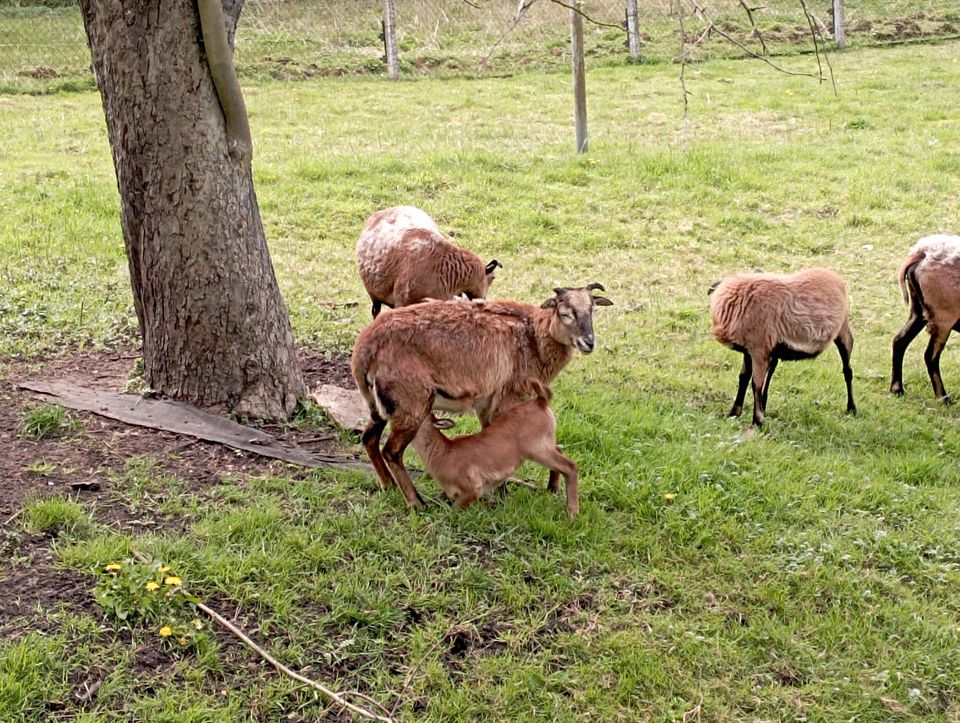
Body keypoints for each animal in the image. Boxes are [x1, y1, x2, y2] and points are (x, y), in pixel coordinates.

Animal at [410, 382, 576, 516]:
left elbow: (454, 511)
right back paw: (552, 490)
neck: (443, 452)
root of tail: (540, 401)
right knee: (560, 452)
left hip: (537, 449)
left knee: (570, 466)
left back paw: (572, 514)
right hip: (545, 445)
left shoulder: (472, 489)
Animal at [708, 268, 860, 428]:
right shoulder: (749, 350)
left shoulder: (759, 350)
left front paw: (757, 421)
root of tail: (836, 278)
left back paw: (851, 409)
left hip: (843, 332)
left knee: (847, 370)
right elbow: (743, 378)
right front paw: (734, 413)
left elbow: (756, 384)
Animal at [888, 232, 960, 402]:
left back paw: (897, 389)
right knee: (930, 356)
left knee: (899, 341)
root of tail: (921, 253)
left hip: (918, 311)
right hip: (943, 317)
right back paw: (943, 398)